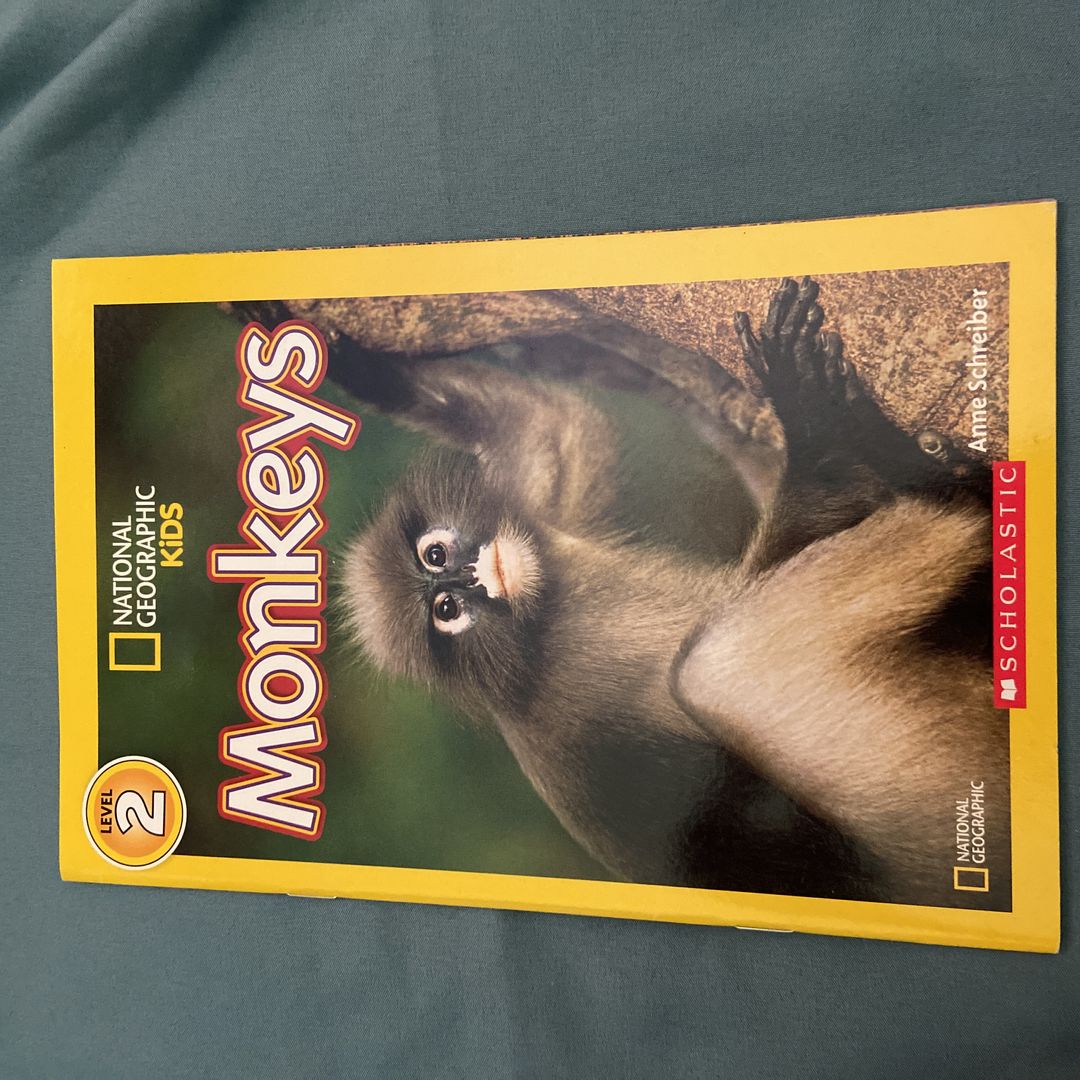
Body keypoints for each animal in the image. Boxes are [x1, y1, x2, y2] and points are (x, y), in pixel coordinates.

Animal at [337, 277, 1008, 906]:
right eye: (446, 610)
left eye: (436, 556)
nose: (471, 578)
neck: (545, 619)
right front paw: (822, 447)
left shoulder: (547, 535)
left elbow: (559, 429)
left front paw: (362, 363)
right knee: (715, 668)